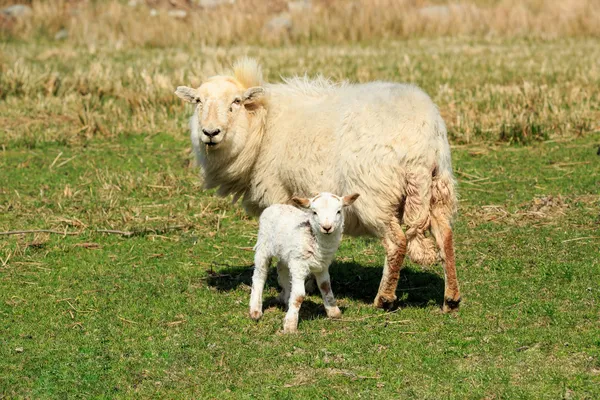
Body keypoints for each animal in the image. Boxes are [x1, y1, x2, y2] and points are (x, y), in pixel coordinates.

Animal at [176, 57, 462, 312]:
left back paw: (384, 298)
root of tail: (419, 145)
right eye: (198, 102)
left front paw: (287, 290)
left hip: (375, 194)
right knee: (445, 236)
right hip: (439, 186)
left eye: (236, 102)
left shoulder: (279, 194)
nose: (210, 133)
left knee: (396, 243)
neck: (262, 123)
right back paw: (451, 298)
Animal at [250, 192, 360, 332]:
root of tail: (274, 206)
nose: (327, 228)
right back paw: (255, 310)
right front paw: (290, 324)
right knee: (260, 275)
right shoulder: (299, 265)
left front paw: (333, 312)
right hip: (263, 245)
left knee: (282, 269)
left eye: (338, 211)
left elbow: (325, 286)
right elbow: (299, 295)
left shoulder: (322, 265)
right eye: (314, 212)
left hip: (286, 253)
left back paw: (286, 298)